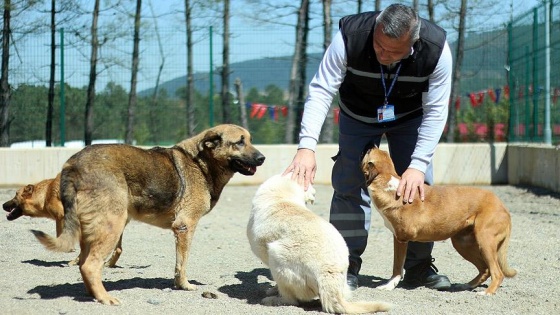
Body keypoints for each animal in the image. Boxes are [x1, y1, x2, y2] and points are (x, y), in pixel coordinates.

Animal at [31, 124, 266, 306]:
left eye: (250, 140)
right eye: (239, 142)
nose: (262, 158)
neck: (201, 164)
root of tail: (72, 163)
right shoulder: (185, 227)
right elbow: (182, 263)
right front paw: (184, 285)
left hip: (94, 229)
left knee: (83, 263)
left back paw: (94, 294)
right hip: (112, 226)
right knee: (90, 265)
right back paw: (105, 298)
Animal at [247, 174, 392, 314]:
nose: (314, 195)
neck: (282, 195)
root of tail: (328, 277)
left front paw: (273, 290)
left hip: (276, 256)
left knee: (291, 300)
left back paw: (273, 300)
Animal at [364, 147, 516, 296]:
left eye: (368, 152)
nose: (371, 145)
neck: (389, 183)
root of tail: (503, 206)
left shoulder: (401, 239)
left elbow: (397, 267)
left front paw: (389, 286)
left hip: (485, 241)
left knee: (497, 272)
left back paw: (487, 292)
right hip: (463, 243)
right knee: (485, 269)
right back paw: (466, 285)